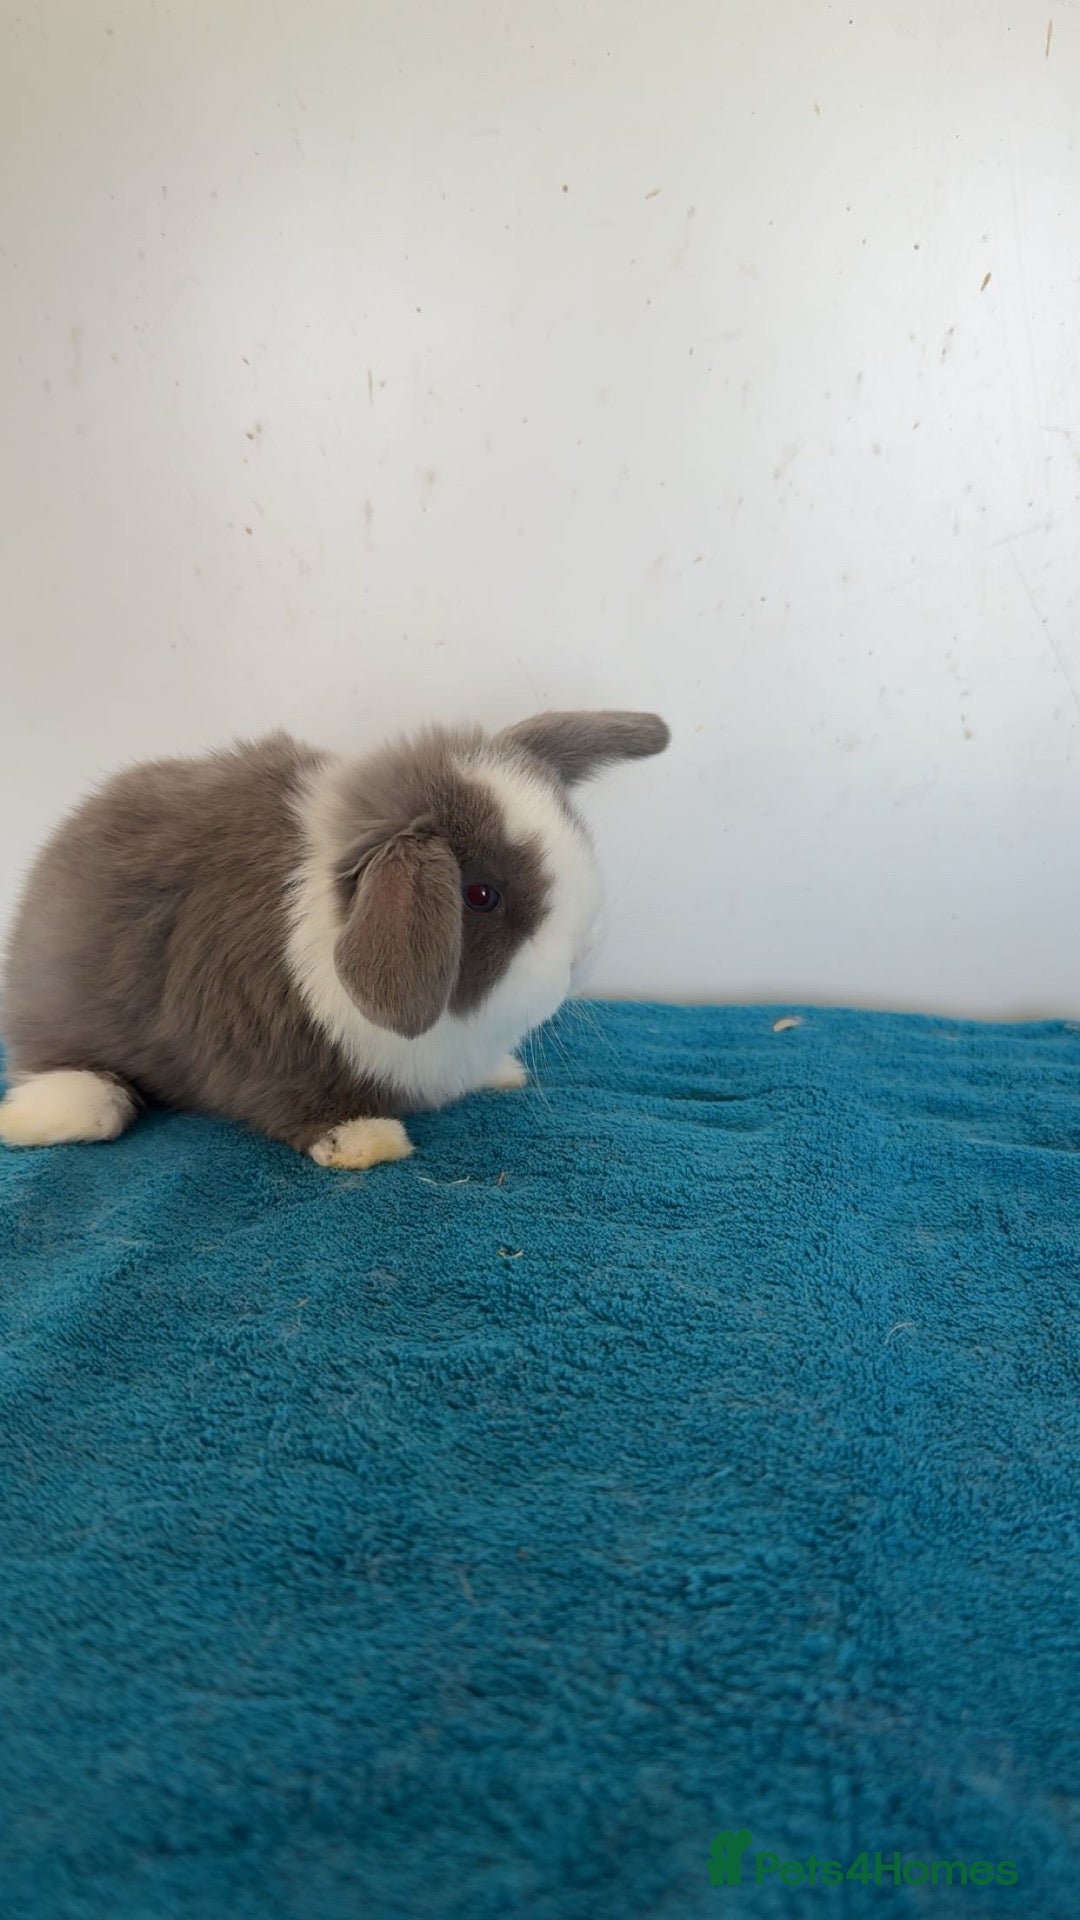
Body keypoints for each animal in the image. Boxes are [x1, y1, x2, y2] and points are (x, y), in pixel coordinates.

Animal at [0, 709, 669, 1168]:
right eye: (480, 896)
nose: (583, 953)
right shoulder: (265, 1049)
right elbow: (305, 1105)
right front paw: (366, 1141)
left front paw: (501, 1072)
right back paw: (48, 1114)